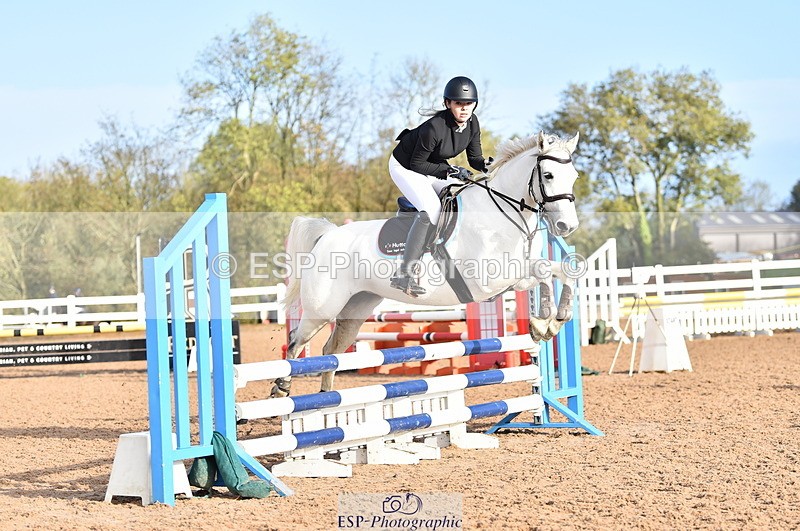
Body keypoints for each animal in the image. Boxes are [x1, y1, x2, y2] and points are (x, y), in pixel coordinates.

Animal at [276, 131, 581, 397]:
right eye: (549, 175)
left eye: (574, 176)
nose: (567, 226)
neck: (502, 213)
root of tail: (328, 235)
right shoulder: (489, 279)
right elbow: (543, 271)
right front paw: (542, 324)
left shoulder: (516, 275)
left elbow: (564, 271)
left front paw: (554, 321)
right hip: (321, 309)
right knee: (295, 341)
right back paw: (282, 388)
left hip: (356, 308)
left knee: (331, 350)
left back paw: (326, 401)